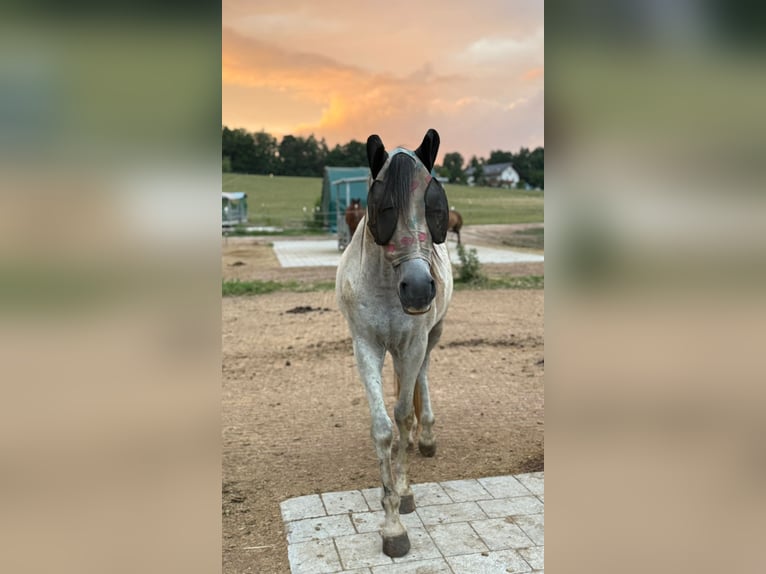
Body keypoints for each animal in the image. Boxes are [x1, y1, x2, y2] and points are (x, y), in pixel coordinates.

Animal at [336, 129, 453, 557]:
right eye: (383, 206)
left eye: (434, 206)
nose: (418, 288)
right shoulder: (366, 347)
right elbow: (384, 429)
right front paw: (390, 526)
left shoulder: (414, 344)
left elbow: (403, 418)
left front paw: (403, 494)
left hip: (431, 336)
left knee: (422, 377)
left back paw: (428, 435)